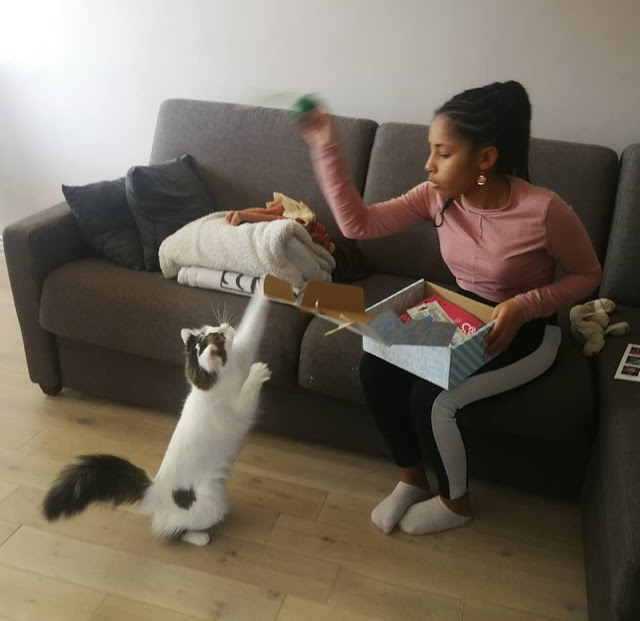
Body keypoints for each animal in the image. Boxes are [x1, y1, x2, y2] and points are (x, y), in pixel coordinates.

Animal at [42, 291, 271, 546]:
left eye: (213, 327)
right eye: (219, 335)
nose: (226, 325)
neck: (211, 383)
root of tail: (155, 490)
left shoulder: (243, 351)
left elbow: (252, 324)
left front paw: (265, 288)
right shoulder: (239, 412)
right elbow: (248, 392)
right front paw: (258, 373)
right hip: (213, 504)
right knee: (169, 532)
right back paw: (199, 537)